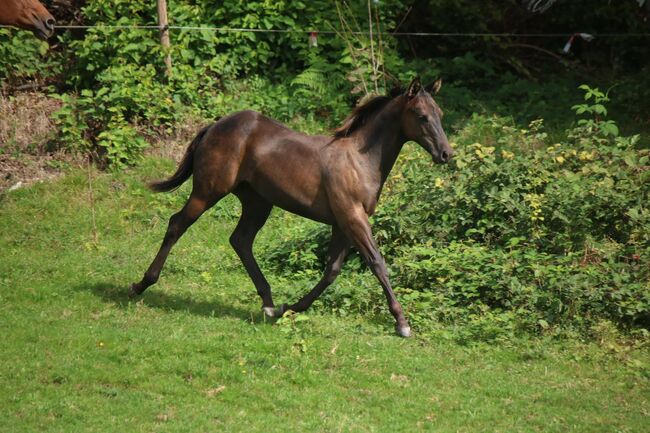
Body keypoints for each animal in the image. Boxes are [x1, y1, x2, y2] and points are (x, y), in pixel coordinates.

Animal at [129, 76, 448, 336]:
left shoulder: (343, 222)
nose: (446, 153)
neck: (360, 159)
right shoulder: (352, 217)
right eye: (421, 116)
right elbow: (377, 263)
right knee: (177, 224)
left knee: (240, 240)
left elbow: (332, 270)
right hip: (208, 191)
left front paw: (289, 308)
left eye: (440, 115)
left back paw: (269, 304)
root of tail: (215, 125)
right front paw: (402, 324)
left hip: (257, 203)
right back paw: (140, 285)